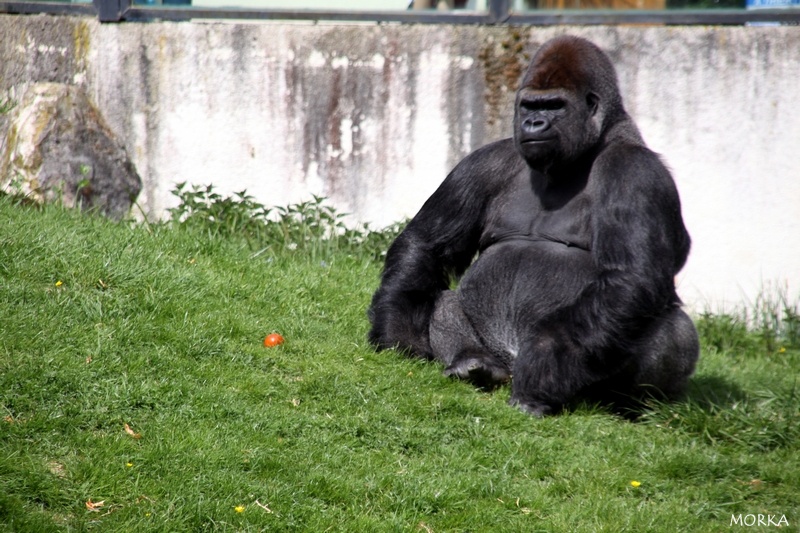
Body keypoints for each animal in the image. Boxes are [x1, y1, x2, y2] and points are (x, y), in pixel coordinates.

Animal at [368, 35, 700, 416]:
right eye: (529, 106)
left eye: (555, 106)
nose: (533, 124)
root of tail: (510, 363)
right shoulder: (485, 162)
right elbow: (428, 244)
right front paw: (398, 331)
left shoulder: (635, 172)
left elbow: (630, 278)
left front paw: (543, 369)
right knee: (445, 300)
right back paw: (474, 362)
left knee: (673, 329)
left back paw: (625, 405)